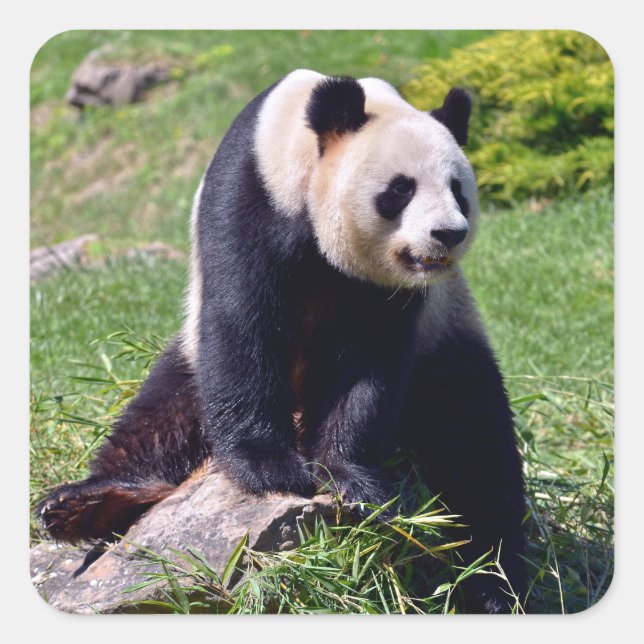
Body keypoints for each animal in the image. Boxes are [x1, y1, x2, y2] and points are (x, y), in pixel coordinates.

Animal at [38, 69, 526, 613]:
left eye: (459, 190)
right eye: (400, 189)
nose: (448, 233)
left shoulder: (392, 294)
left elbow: (366, 361)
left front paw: (348, 477)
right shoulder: (249, 197)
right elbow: (242, 323)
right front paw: (270, 469)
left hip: (445, 343)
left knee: (477, 450)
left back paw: (493, 584)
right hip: (187, 362)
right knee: (160, 417)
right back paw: (83, 506)